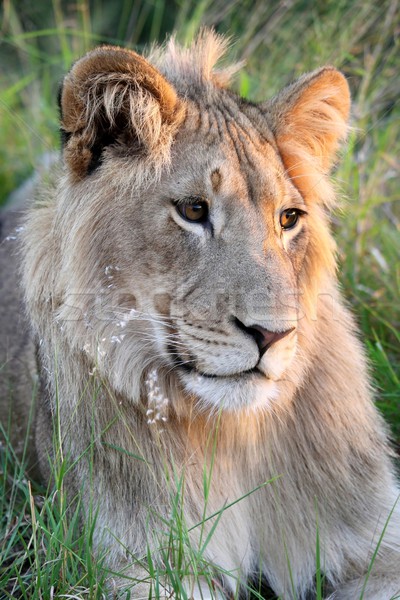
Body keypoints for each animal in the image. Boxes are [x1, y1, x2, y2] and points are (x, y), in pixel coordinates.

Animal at [0, 31, 400, 600]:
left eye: (288, 219)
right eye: (193, 210)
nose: (272, 334)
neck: (235, 439)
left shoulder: (372, 546)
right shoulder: (133, 566)